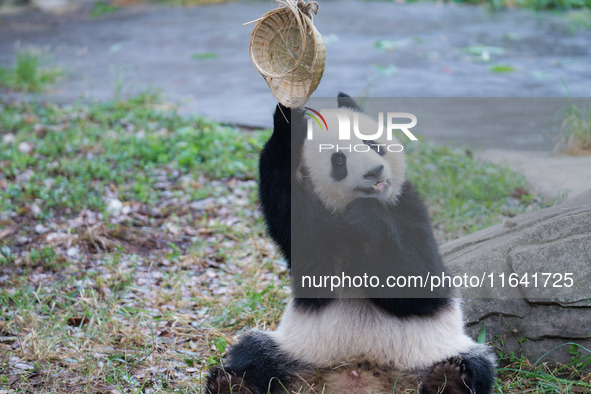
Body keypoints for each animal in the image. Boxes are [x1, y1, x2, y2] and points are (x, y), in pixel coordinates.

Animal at [206, 94, 498, 392]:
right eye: (338, 159)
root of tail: (360, 373)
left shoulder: (409, 206)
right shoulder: (313, 233)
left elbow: (422, 284)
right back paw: (231, 384)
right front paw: (289, 123)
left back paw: (449, 379)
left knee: (477, 363)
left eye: (371, 143)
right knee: (253, 351)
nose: (375, 171)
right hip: (296, 347)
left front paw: (366, 217)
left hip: (431, 350)